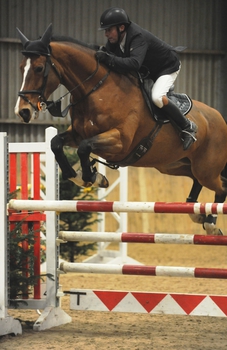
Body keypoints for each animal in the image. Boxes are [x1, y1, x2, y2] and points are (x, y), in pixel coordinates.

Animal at [15, 23, 227, 235]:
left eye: (39, 68)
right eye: (21, 68)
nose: (23, 112)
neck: (97, 90)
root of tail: (220, 118)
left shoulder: (120, 142)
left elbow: (84, 148)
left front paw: (93, 177)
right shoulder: (77, 135)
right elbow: (56, 143)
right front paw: (82, 177)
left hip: (206, 169)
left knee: (221, 188)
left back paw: (210, 223)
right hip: (175, 165)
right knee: (199, 181)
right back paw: (197, 213)